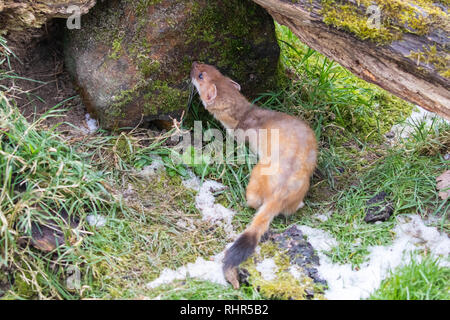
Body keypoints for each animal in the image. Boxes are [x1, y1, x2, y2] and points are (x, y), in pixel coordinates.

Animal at [192, 62, 318, 288]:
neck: (244, 114)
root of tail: (280, 191)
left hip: (257, 176)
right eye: (213, 68)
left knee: (253, 201)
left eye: (200, 75)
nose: (194, 63)